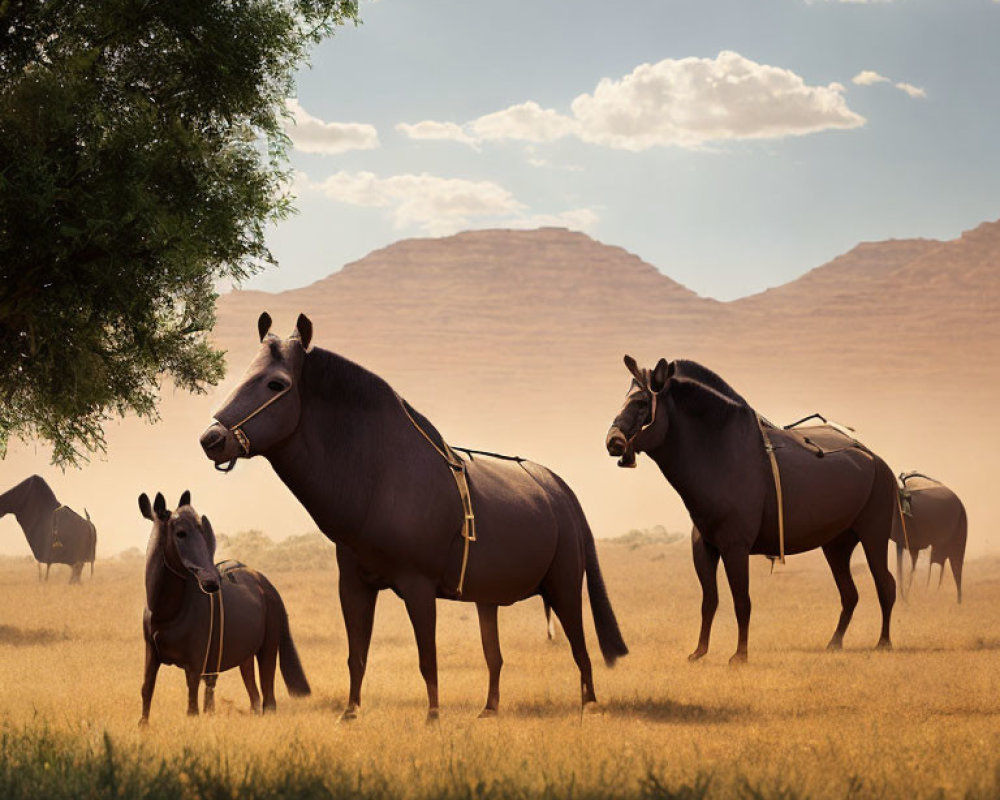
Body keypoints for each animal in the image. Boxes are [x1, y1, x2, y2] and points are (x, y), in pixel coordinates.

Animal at [138, 488, 308, 724]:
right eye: (180, 533)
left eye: (202, 531)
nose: (211, 581)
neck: (168, 612)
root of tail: (266, 586)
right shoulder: (152, 654)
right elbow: (147, 690)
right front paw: (142, 725)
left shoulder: (195, 664)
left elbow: (192, 706)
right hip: (246, 656)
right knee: (254, 697)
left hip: (267, 649)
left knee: (268, 699)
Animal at [200, 316, 628, 720]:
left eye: (276, 384)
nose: (211, 439)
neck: (380, 478)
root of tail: (560, 490)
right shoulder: (354, 587)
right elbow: (357, 656)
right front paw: (350, 713)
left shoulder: (419, 588)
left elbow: (427, 658)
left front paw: (433, 716)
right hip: (488, 599)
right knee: (495, 655)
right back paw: (489, 709)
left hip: (564, 586)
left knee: (580, 646)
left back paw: (590, 705)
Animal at [604, 356, 904, 664]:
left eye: (642, 403)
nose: (613, 441)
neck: (720, 454)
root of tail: (877, 461)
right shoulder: (705, 548)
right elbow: (709, 601)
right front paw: (699, 652)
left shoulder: (735, 547)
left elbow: (741, 601)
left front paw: (739, 656)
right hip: (837, 545)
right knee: (850, 594)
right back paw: (834, 643)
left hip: (873, 537)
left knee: (885, 585)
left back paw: (883, 642)